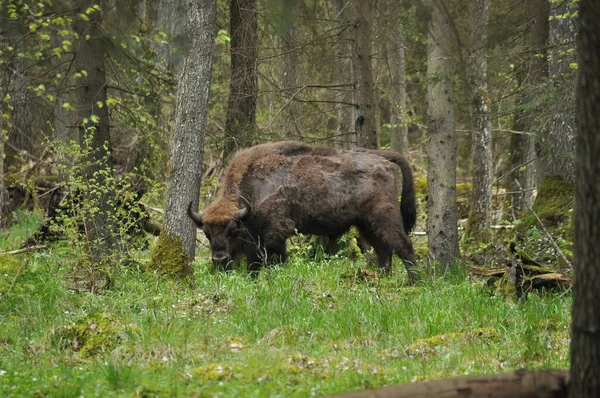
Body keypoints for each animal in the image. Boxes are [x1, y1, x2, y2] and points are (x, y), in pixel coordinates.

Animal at [186, 140, 418, 282]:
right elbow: (254, 265)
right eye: (207, 233)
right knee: (383, 250)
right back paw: (382, 279)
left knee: (403, 244)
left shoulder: (275, 233)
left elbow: (275, 260)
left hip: (383, 214)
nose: (219, 259)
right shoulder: (255, 242)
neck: (251, 192)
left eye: (232, 230)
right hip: (365, 223)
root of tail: (383, 160)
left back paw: (414, 282)